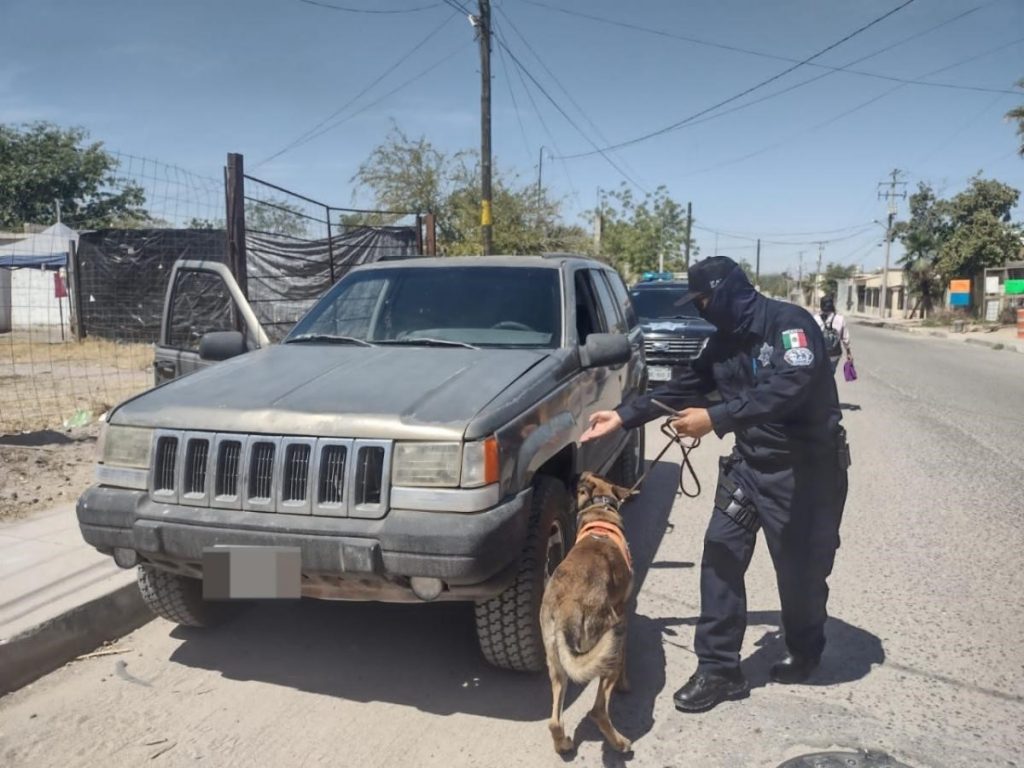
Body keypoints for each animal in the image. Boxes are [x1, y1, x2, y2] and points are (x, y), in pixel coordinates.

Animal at [540, 473, 634, 753]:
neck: (600, 510)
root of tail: (565, 608)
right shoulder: (623, 610)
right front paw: (626, 684)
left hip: (557, 664)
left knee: (554, 722)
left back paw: (564, 745)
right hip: (611, 643)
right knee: (598, 710)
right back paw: (620, 743)